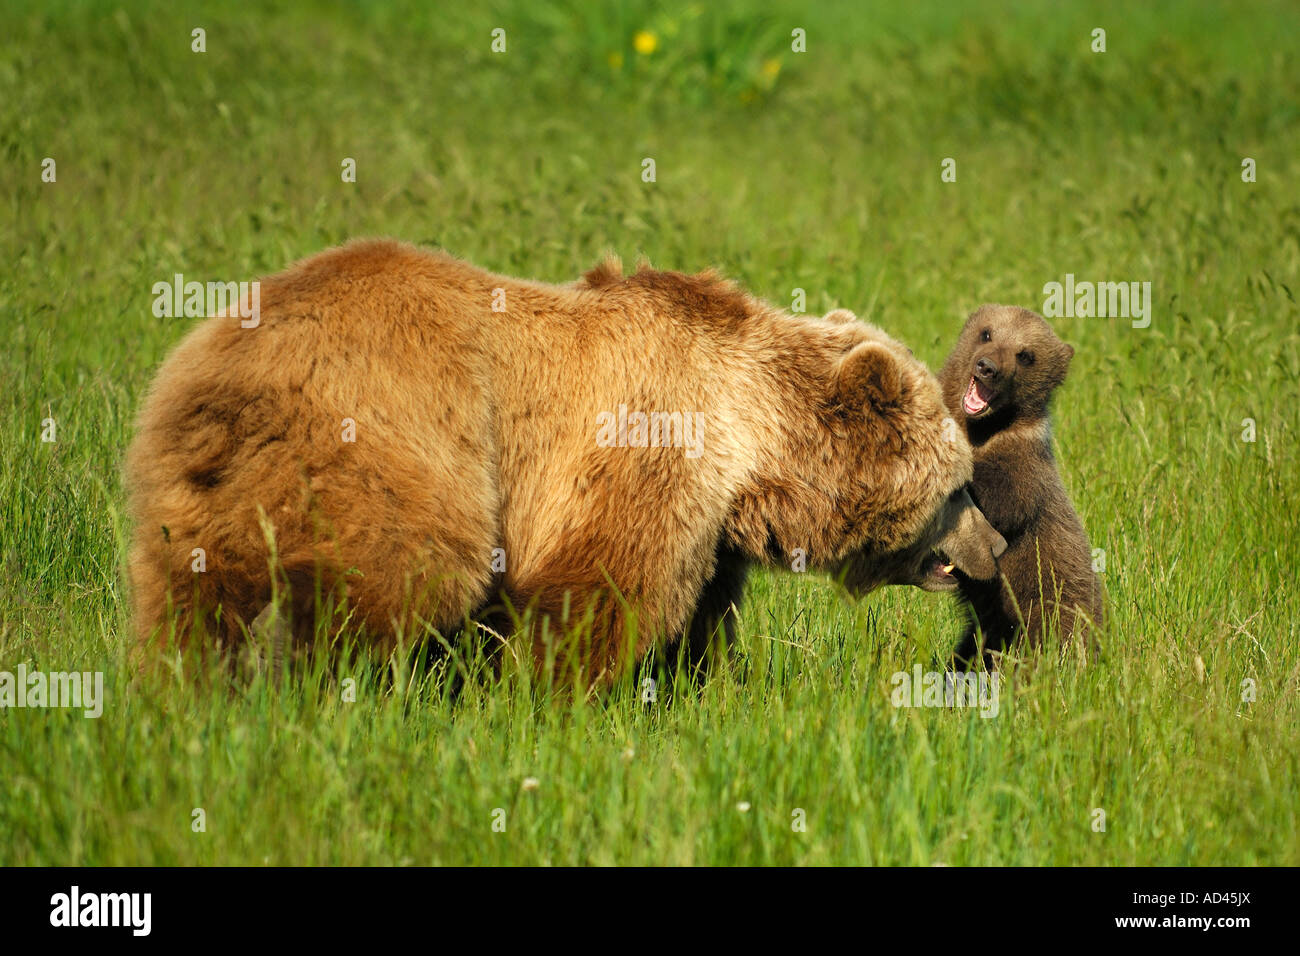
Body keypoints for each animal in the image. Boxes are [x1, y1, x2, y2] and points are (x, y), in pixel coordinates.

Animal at [126, 239, 1003, 686]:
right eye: (960, 485)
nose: (994, 548)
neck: (754, 444)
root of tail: (218, 371)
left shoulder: (713, 530)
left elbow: (695, 625)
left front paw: (690, 689)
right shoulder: (643, 441)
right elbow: (595, 591)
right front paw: (552, 699)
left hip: (198, 492)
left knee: (192, 602)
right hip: (395, 445)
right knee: (392, 580)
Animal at [941, 306, 1102, 665]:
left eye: (1026, 355)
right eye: (987, 333)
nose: (987, 367)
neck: (979, 431)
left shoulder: (1024, 468)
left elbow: (1002, 505)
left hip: (1049, 606)